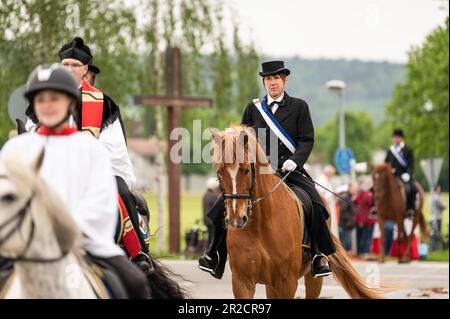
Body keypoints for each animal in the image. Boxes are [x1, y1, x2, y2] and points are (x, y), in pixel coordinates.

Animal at [210, 125, 384, 300]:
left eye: (245, 170)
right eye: (219, 172)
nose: (236, 219)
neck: (260, 226)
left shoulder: (287, 282)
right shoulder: (242, 282)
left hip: (312, 279)